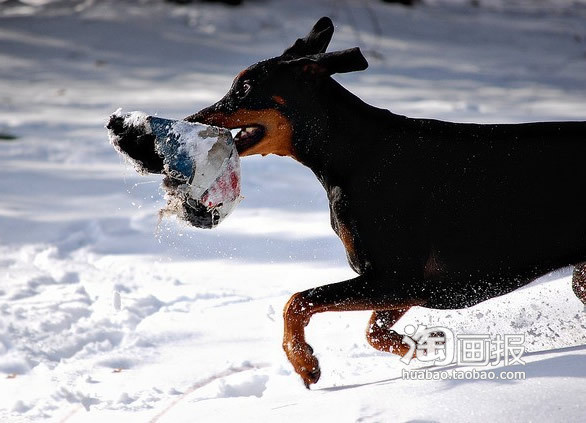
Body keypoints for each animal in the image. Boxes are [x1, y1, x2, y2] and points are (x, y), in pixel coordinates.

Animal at [112, 16, 584, 388]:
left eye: (244, 87)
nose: (185, 122)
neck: (353, 154)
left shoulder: (399, 277)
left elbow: (298, 300)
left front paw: (304, 363)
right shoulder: (402, 283)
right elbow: (373, 331)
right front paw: (418, 344)